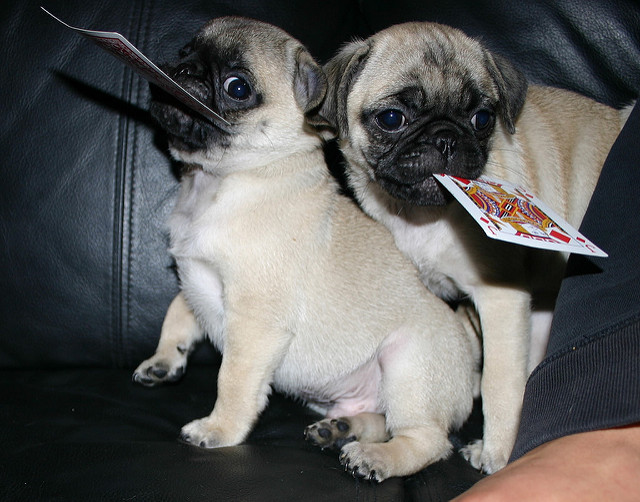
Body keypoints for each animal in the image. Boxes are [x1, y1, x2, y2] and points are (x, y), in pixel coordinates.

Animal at [132, 17, 478, 482]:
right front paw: (165, 359)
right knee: (380, 420)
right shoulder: (195, 278)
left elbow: (232, 379)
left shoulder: (254, 322)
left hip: (408, 367)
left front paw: (219, 429)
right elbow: (177, 312)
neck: (217, 183)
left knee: (427, 439)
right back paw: (341, 429)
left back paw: (376, 458)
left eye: (237, 87)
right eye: (185, 51)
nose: (181, 69)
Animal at [322, 20, 632, 474]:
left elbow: (498, 382)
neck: (422, 216)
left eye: (482, 118)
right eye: (392, 119)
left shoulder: (499, 299)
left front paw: (496, 453)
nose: (446, 138)